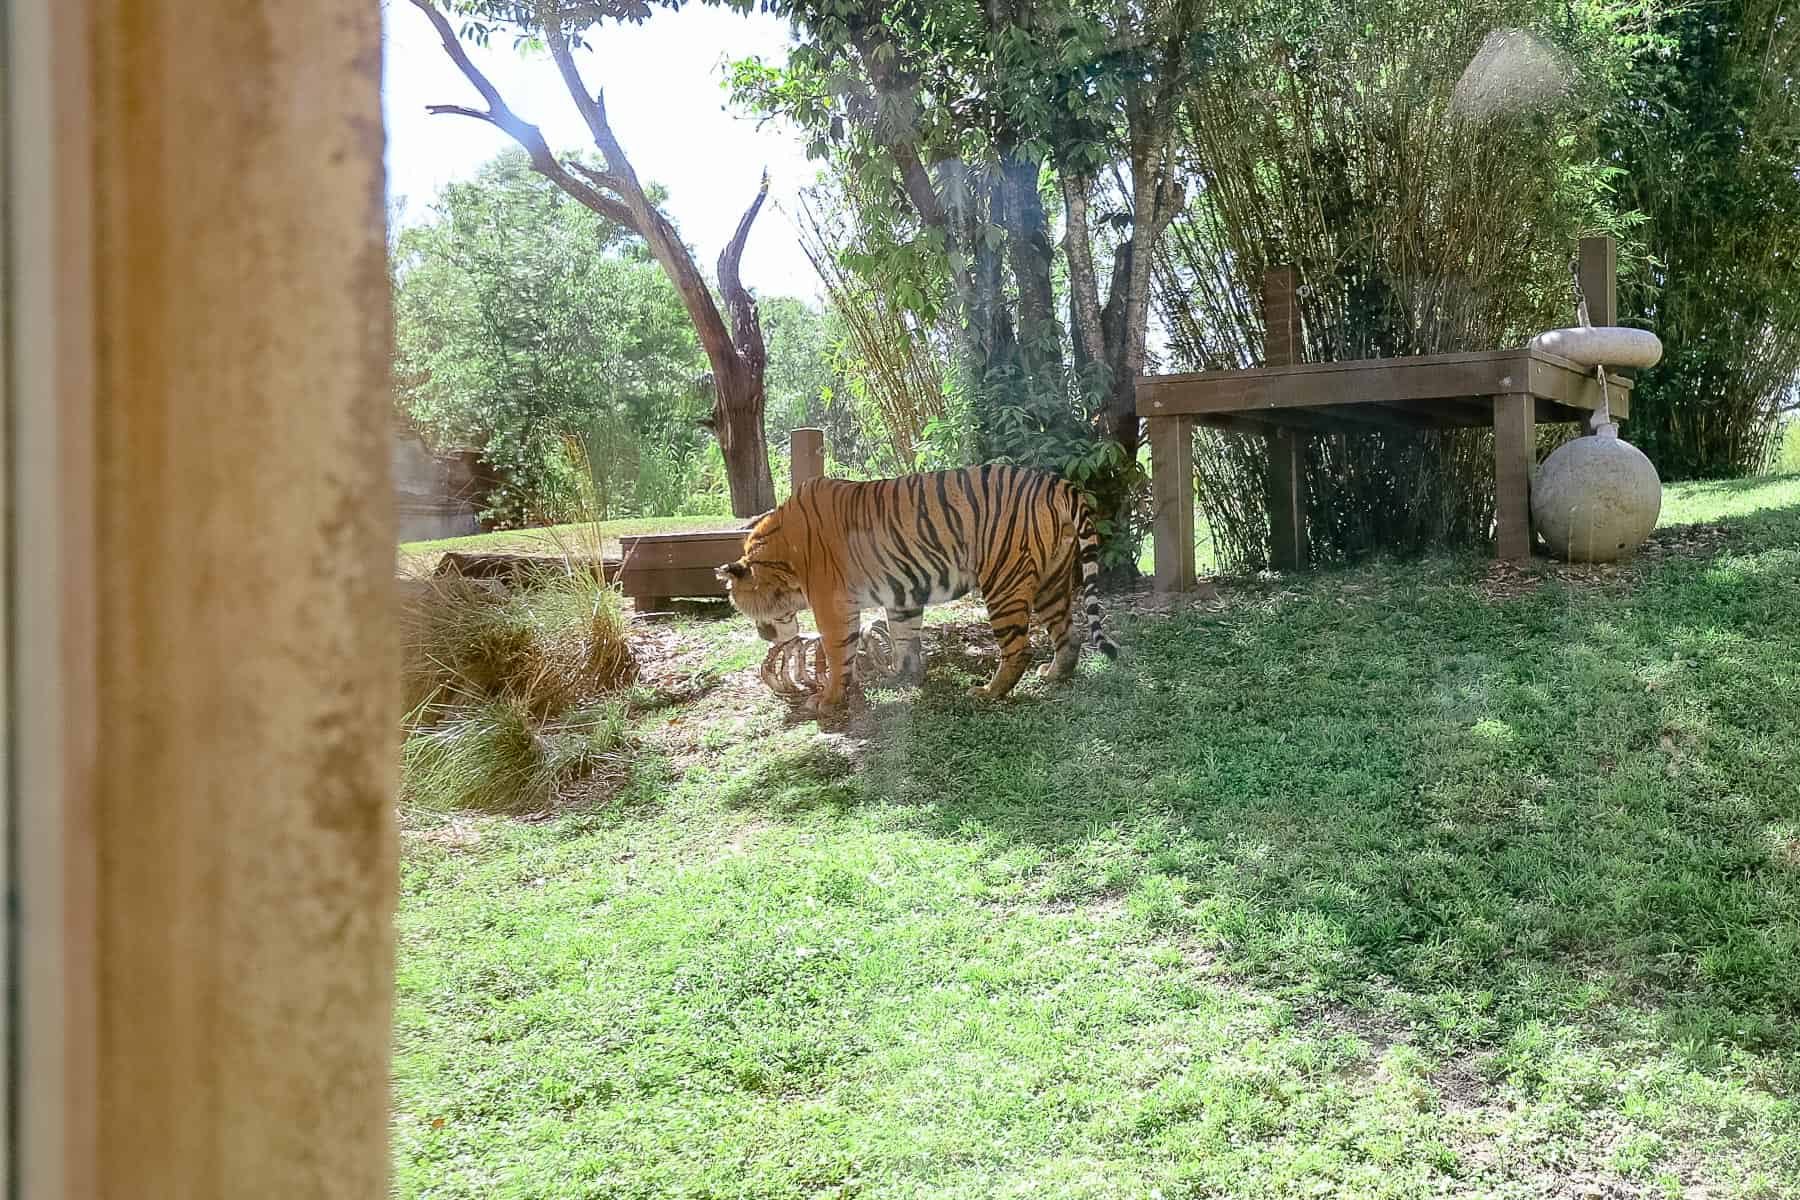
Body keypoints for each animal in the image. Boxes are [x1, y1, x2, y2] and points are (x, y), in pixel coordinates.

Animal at [712, 467, 1108, 712]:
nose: (764, 636)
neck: (781, 558)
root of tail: (1055, 482)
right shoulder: (902, 591)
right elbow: (903, 637)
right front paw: (903, 675)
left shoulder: (832, 604)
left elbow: (838, 652)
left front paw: (828, 700)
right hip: (1051, 583)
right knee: (1068, 634)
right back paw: (1054, 674)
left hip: (1003, 582)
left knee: (1019, 648)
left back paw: (987, 692)